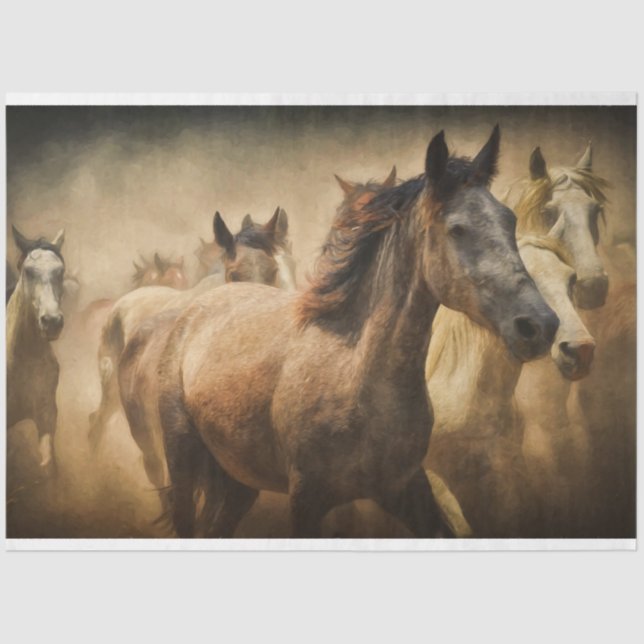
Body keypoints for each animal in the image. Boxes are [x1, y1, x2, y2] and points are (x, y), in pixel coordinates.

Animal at [154, 126, 559, 539]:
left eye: (509, 220)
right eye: (457, 229)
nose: (539, 325)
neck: (357, 373)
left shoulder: (404, 487)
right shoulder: (307, 501)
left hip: (239, 480)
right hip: (182, 456)